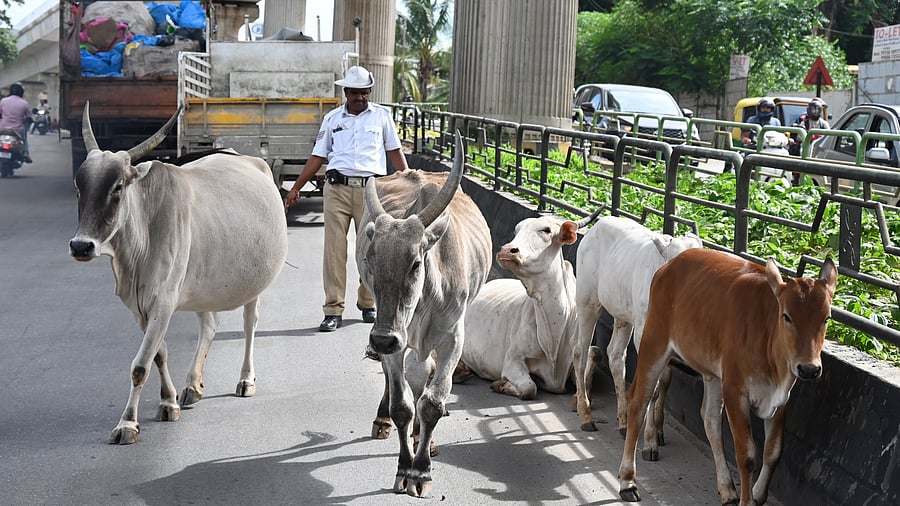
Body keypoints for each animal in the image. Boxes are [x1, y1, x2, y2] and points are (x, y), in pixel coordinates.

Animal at [68, 102, 288, 445]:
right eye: (80, 186)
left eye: (117, 187)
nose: (81, 246)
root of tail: (250, 160)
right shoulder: (139, 308)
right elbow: (158, 355)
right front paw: (168, 402)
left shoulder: (163, 301)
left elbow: (140, 365)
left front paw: (127, 423)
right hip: (204, 281)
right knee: (209, 325)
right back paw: (192, 384)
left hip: (254, 285)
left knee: (250, 324)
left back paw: (246, 380)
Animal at [357, 132, 492, 498]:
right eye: (370, 261)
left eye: (416, 263)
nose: (381, 340)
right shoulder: (397, 340)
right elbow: (402, 404)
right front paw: (405, 468)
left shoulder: (452, 340)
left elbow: (432, 401)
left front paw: (422, 470)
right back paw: (385, 421)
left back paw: (423, 439)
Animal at [456, 210, 601, 400]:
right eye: (517, 230)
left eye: (546, 230)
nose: (507, 251)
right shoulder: (513, 359)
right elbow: (529, 388)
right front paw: (500, 384)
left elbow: (590, 372)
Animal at [574, 216, 701, 458]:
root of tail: (596, 228)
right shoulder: (645, 334)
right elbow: (651, 387)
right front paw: (650, 442)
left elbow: (664, 381)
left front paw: (657, 433)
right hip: (587, 301)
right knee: (580, 353)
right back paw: (585, 415)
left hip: (623, 315)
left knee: (615, 355)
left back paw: (624, 422)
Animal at [618, 249, 837, 506]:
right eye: (787, 316)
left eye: (826, 318)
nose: (809, 369)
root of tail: (671, 264)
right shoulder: (735, 389)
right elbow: (747, 455)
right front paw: (747, 500)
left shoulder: (782, 397)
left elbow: (773, 452)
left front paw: (757, 494)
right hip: (654, 342)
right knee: (638, 402)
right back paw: (628, 481)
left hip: (711, 372)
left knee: (709, 418)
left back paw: (727, 489)